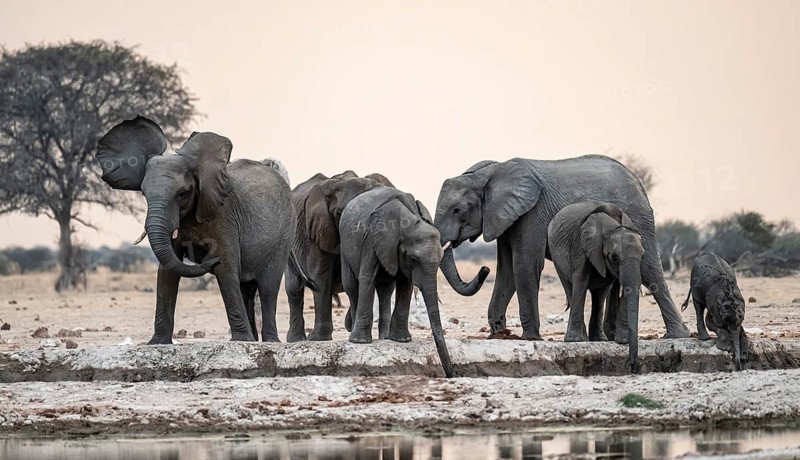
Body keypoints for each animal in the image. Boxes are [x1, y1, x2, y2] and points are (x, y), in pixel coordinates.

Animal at [96, 116, 295, 343]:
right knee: (246, 288)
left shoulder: (223, 216)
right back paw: (254, 340)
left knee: (268, 286)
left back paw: (270, 341)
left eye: (183, 194)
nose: (208, 258)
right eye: (144, 194)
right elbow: (167, 270)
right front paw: (156, 343)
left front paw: (241, 340)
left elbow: (225, 267)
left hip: (284, 236)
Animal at [284, 171, 394, 342]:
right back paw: (297, 339)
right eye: (339, 214)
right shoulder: (315, 230)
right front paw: (318, 338)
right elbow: (320, 276)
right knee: (294, 288)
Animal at [339, 186, 453, 377]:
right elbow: (367, 278)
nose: (450, 374)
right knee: (352, 287)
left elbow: (405, 285)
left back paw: (385, 338)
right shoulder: (372, 238)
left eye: (439, 261)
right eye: (413, 260)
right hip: (344, 247)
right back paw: (356, 337)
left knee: (385, 291)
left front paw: (402, 340)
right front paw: (360, 342)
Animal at [434, 155, 691, 340]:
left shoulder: (532, 213)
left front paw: (531, 338)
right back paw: (608, 337)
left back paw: (678, 336)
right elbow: (506, 271)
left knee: (650, 271)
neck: (489, 173)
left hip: (638, 219)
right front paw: (498, 335)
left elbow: (525, 265)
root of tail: (638, 182)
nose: (482, 269)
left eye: (457, 210)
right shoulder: (504, 219)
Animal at [548, 201, 644, 373]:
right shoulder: (582, 246)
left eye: (643, 256)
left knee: (600, 294)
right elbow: (581, 281)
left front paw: (623, 341)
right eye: (614, 257)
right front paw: (574, 341)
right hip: (556, 255)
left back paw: (600, 339)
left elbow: (618, 285)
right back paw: (582, 339)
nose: (634, 368)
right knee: (571, 288)